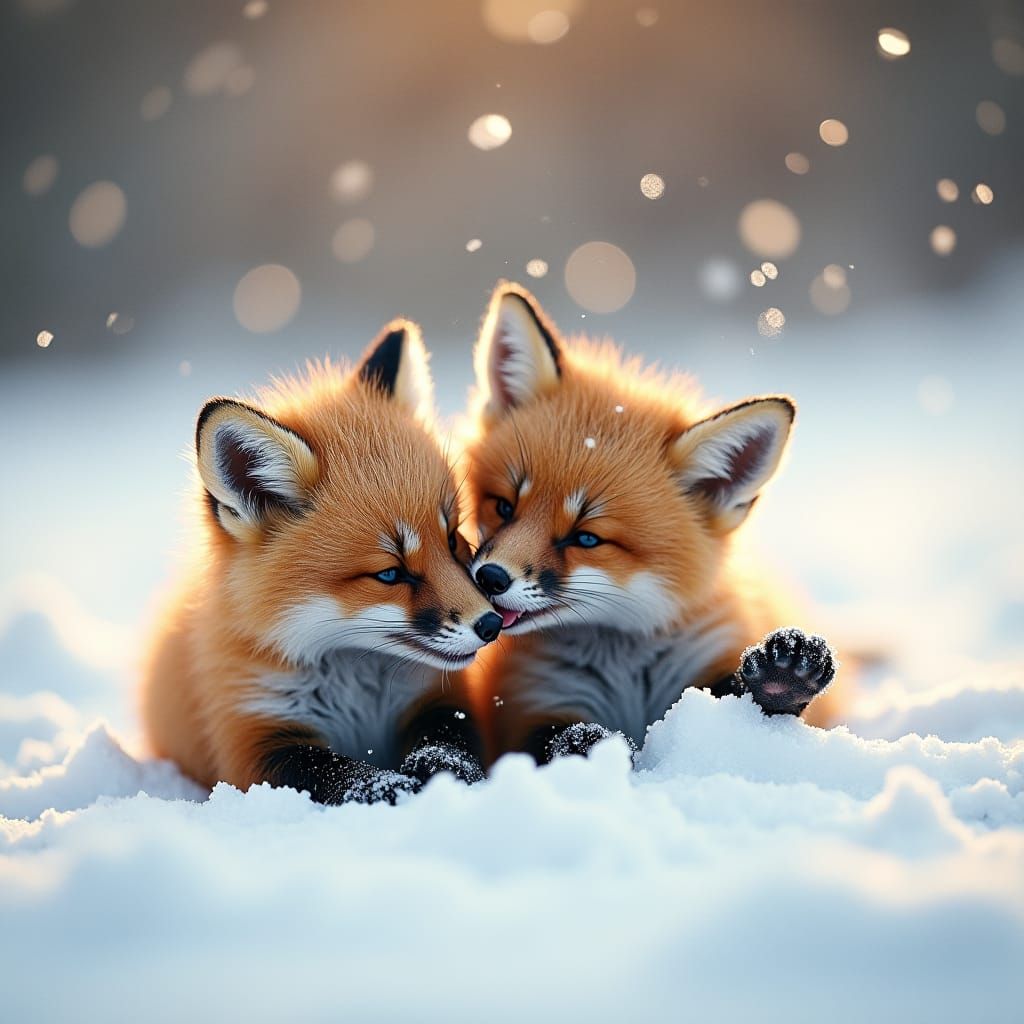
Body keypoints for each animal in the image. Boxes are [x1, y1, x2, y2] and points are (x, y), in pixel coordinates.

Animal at [141, 321, 501, 804]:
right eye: (390, 573)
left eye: (452, 539)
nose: (491, 624)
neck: (355, 690)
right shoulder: (253, 739)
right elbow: (340, 773)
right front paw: (392, 790)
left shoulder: (439, 701)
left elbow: (447, 748)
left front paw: (450, 781)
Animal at [462, 283, 841, 765]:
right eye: (504, 507)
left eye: (587, 538)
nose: (489, 578)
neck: (625, 667)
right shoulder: (532, 703)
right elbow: (557, 740)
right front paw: (591, 747)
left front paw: (781, 683)